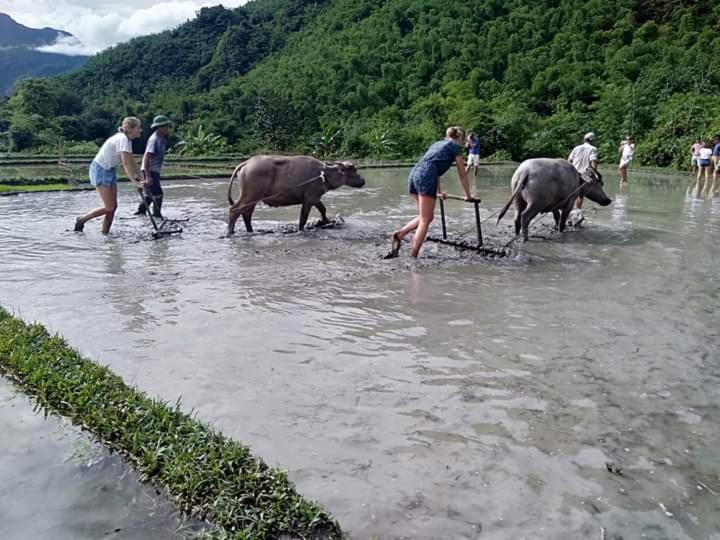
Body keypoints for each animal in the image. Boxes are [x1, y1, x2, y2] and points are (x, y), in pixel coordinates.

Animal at [226, 154, 366, 234]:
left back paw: (250, 231)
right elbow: (303, 218)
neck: (324, 175)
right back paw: (230, 232)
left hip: (254, 198)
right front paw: (301, 230)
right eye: (353, 170)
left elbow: (323, 209)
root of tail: (246, 163)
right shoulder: (309, 199)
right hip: (250, 195)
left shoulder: (315, 198)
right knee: (235, 210)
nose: (363, 180)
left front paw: (326, 221)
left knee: (246, 213)